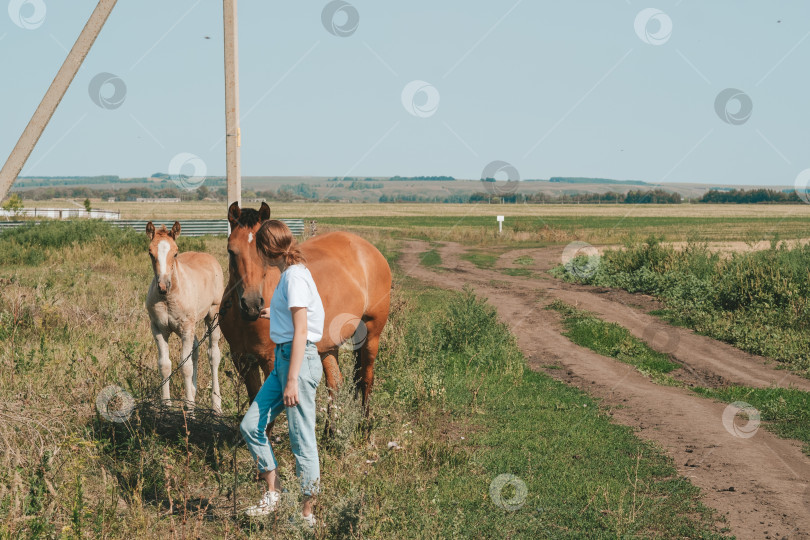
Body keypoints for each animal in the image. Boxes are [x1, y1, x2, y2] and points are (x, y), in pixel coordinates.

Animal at [144, 221, 224, 412]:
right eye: (150, 252)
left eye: (175, 253)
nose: (163, 286)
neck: (169, 298)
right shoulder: (158, 328)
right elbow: (164, 365)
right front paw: (166, 407)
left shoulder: (186, 327)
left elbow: (185, 366)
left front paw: (190, 410)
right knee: (195, 348)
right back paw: (193, 394)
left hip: (212, 314)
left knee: (213, 354)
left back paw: (216, 405)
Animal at [218, 202, 388, 404]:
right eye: (231, 251)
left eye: (264, 254)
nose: (251, 305)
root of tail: (367, 248)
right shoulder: (243, 360)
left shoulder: (271, 361)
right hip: (329, 345)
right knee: (335, 384)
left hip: (371, 334)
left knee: (366, 380)